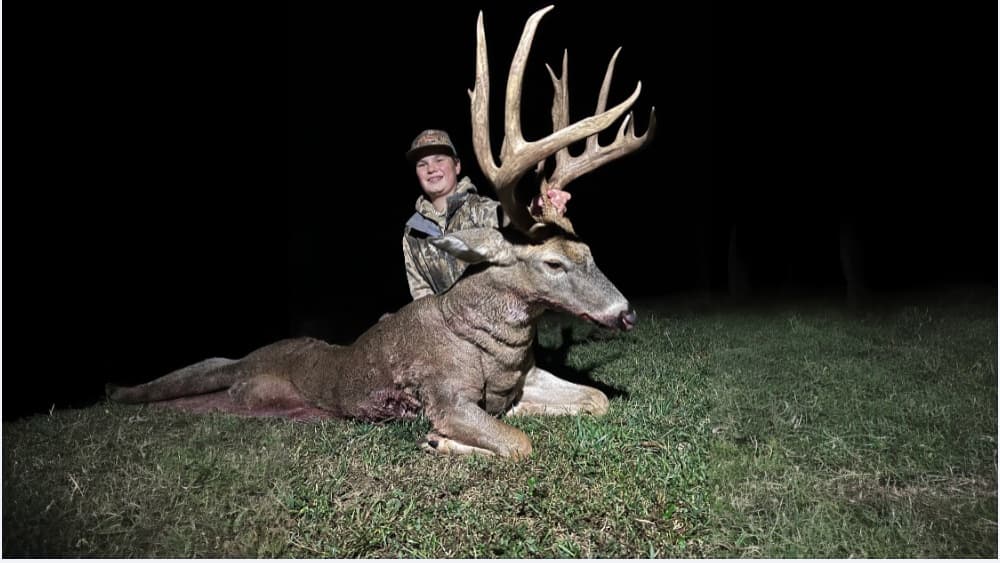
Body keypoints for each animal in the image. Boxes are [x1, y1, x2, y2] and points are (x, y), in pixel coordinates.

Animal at [107, 5, 655, 459]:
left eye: (589, 251)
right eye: (553, 263)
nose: (626, 314)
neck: (491, 348)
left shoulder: (527, 374)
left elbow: (596, 398)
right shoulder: (444, 392)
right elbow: (519, 444)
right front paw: (439, 440)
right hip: (238, 369)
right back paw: (114, 391)